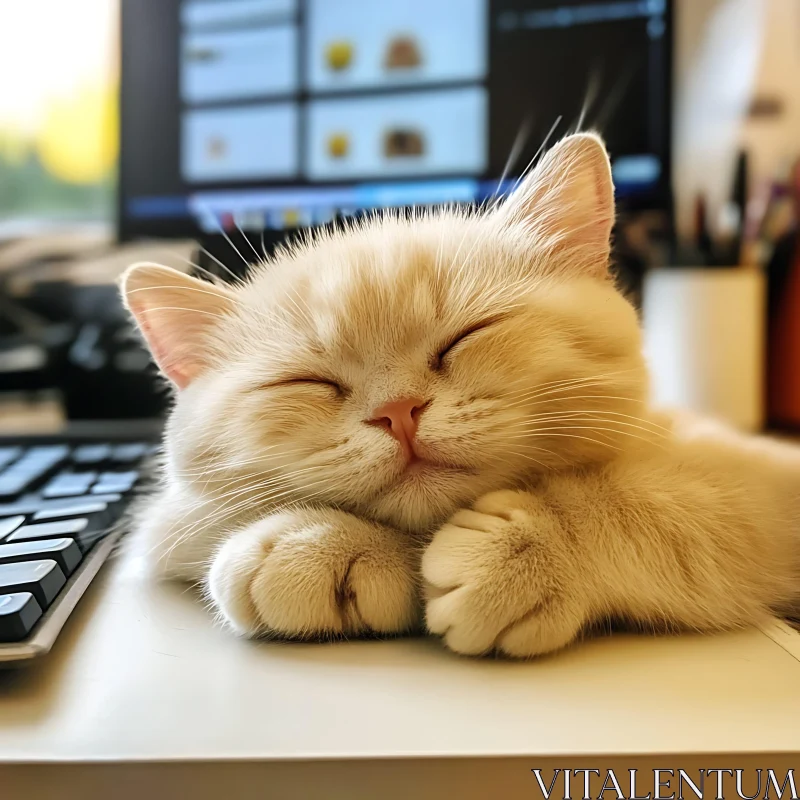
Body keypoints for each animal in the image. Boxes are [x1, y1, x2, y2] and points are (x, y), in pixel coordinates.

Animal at [119, 133, 800, 656]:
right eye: (310, 383)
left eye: (464, 338)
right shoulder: (168, 527)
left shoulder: (761, 481)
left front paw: (528, 547)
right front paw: (322, 543)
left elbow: (664, 503)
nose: (397, 412)